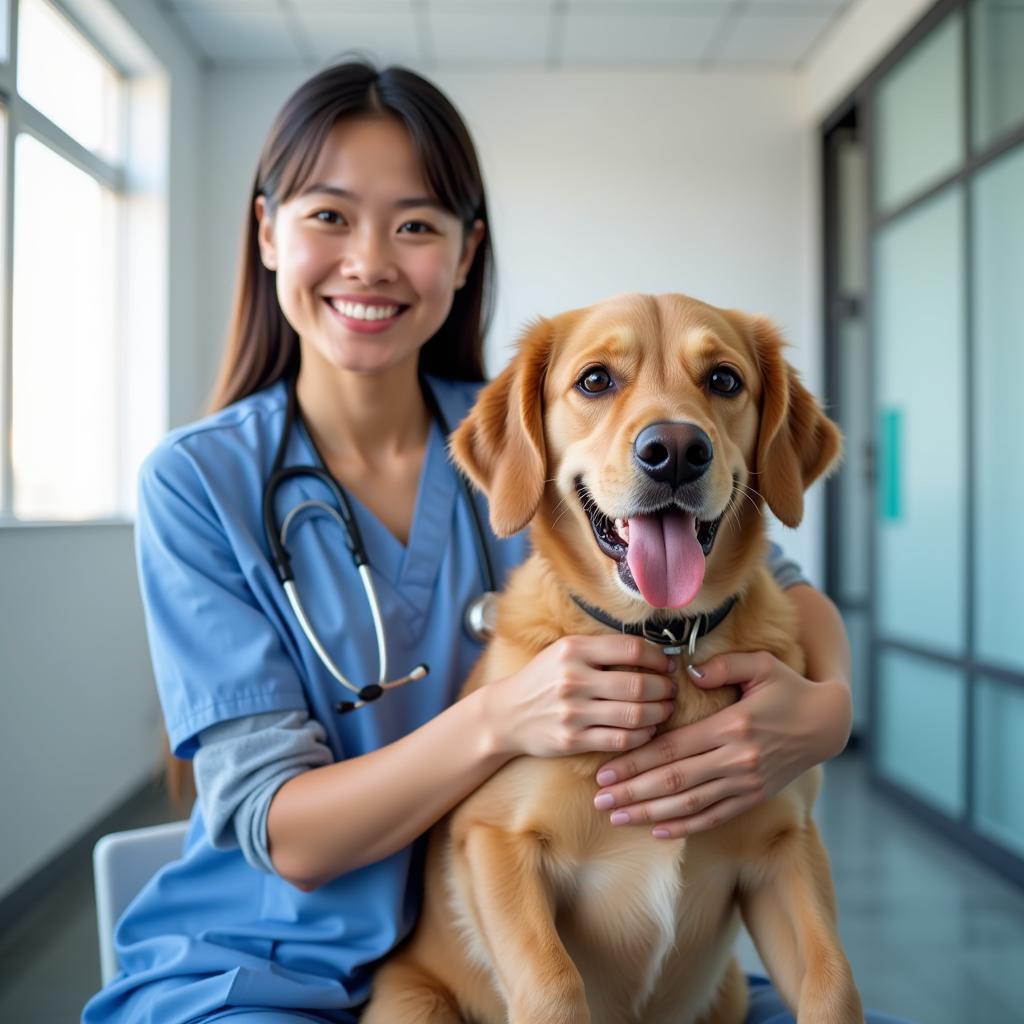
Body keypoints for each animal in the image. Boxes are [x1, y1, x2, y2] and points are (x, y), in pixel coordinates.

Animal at [364, 290, 860, 1024]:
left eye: (724, 380)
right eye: (595, 380)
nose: (675, 451)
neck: (664, 637)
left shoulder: (787, 849)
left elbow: (834, 980)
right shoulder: (493, 840)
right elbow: (554, 984)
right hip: (414, 1002)